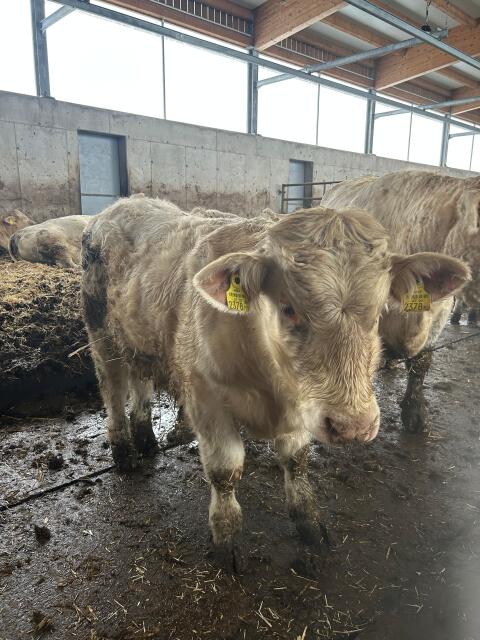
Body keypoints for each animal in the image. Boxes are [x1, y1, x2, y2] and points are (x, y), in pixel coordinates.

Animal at [81, 195, 468, 567]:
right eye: (289, 309)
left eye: (377, 314)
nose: (353, 426)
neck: (268, 383)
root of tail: (121, 204)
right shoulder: (205, 399)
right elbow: (225, 470)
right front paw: (225, 540)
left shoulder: (301, 404)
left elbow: (296, 462)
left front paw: (309, 522)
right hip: (101, 336)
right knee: (113, 391)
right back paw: (125, 452)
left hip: (137, 343)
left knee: (140, 386)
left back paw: (146, 439)